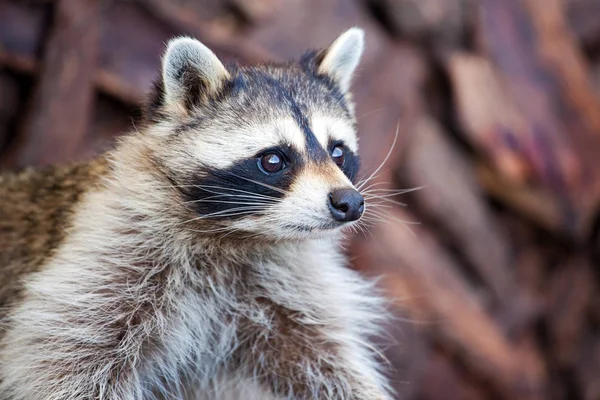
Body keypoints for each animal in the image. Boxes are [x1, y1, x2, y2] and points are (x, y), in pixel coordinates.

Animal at [0, 28, 392, 400]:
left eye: (337, 152)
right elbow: (64, 361)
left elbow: (319, 355)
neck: (239, 236)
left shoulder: (285, 290)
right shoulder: (109, 258)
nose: (349, 203)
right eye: (273, 160)